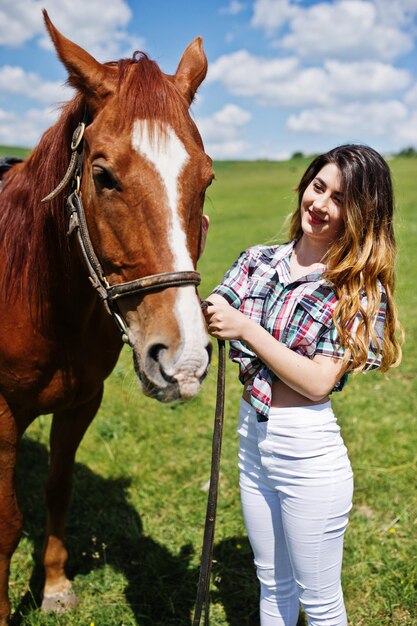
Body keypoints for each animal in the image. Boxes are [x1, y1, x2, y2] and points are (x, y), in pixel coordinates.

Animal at [0, 11, 213, 624]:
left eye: (207, 178)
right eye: (103, 176)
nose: (182, 359)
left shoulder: (82, 403)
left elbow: (58, 489)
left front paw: (54, 586)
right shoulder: (1, 415)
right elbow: (6, 522)